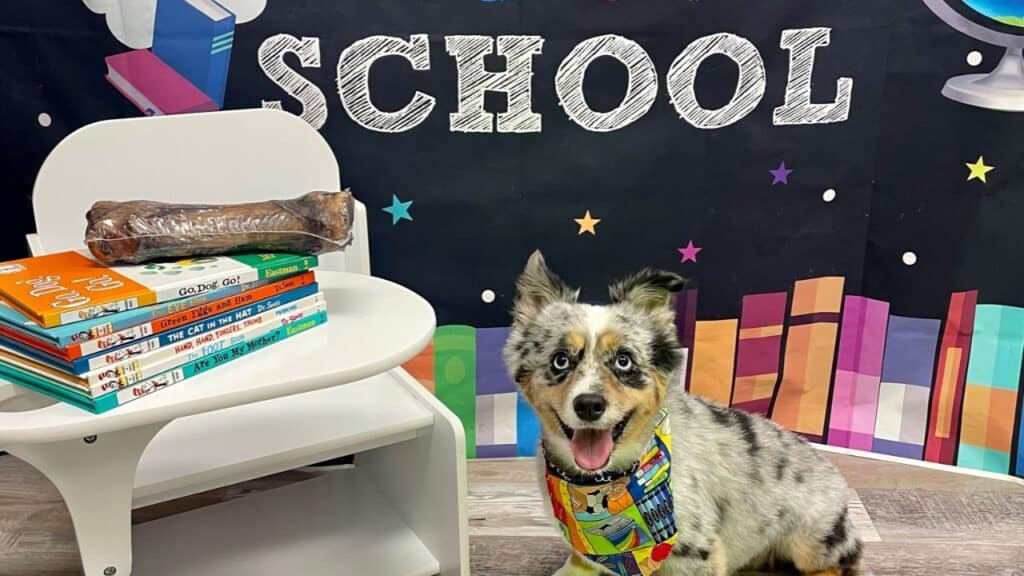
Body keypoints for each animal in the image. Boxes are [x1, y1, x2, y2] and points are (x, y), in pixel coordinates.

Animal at [503, 251, 864, 573]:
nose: (589, 404)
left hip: (813, 541)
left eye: (624, 361)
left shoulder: (697, 552)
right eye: (560, 360)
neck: (603, 479)